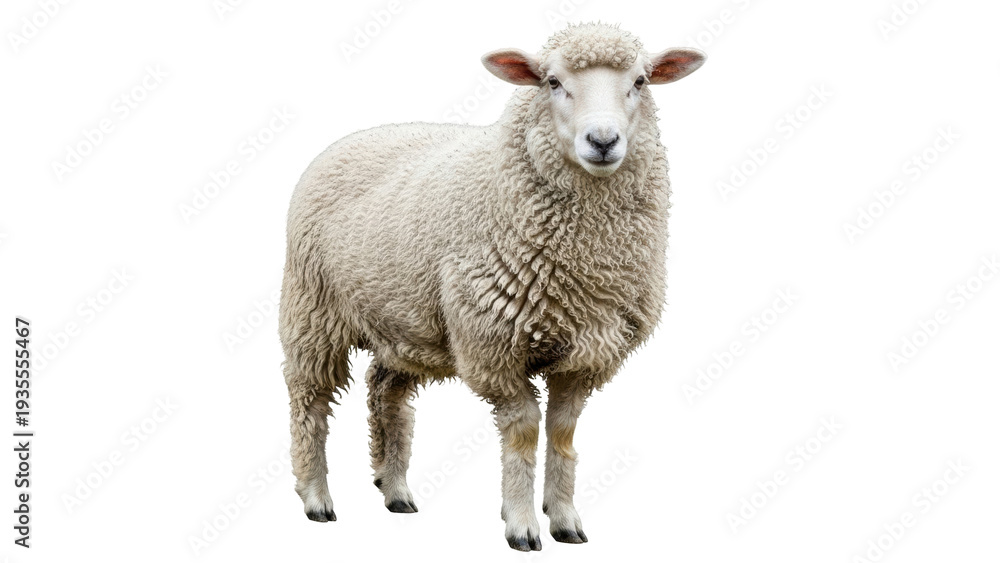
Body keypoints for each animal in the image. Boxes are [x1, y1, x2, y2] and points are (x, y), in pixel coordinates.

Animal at [279, 22, 705, 551]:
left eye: (640, 82)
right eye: (552, 82)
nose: (603, 140)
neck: (586, 261)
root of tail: (354, 137)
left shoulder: (586, 353)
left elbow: (562, 433)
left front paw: (565, 520)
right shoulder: (494, 345)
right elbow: (523, 431)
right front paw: (521, 524)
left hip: (404, 322)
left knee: (387, 394)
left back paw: (394, 489)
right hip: (312, 310)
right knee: (310, 402)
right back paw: (316, 497)